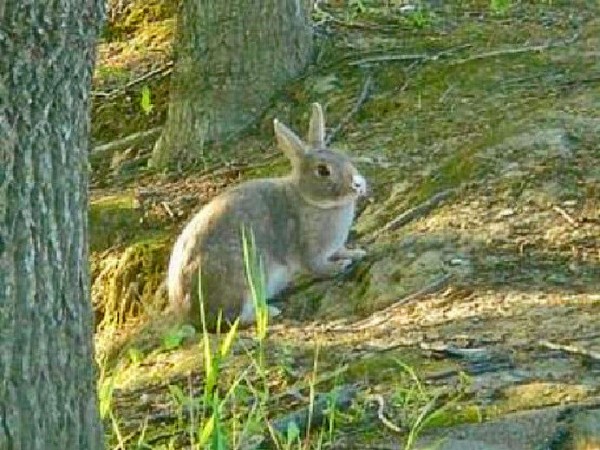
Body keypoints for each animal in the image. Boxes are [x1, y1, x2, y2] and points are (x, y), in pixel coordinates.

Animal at [166, 103, 368, 330]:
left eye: (343, 156)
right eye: (323, 170)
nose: (358, 184)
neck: (307, 198)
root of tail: (190, 316)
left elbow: (342, 250)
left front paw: (357, 253)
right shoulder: (309, 249)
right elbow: (318, 267)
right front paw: (340, 266)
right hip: (245, 280)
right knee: (233, 318)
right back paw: (270, 311)